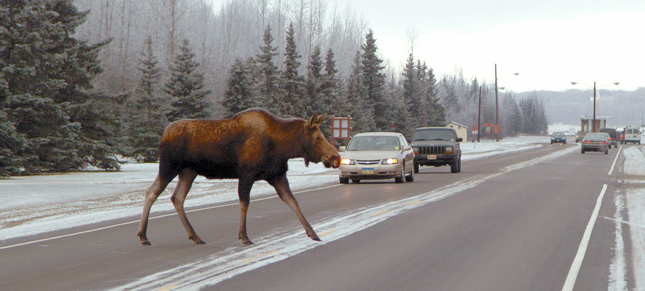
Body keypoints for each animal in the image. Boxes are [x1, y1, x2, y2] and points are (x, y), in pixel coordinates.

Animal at [137, 109, 342, 246]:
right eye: (317, 138)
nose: (336, 157)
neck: (283, 146)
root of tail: (163, 134)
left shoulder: (277, 176)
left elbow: (293, 202)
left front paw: (313, 233)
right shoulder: (246, 174)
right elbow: (245, 203)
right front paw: (244, 236)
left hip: (188, 172)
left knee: (177, 198)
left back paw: (195, 236)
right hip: (169, 167)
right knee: (151, 192)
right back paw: (143, 236)